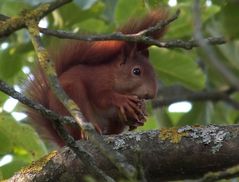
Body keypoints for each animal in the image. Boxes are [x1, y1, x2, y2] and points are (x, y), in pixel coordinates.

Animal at [25, 9, 167, 146]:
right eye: (136, 71)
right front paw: (122, 100)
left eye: (154, 72)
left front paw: (142, 109)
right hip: (73, 95)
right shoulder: (97, 80)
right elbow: (101, 96)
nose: (151, 95)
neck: (113, 75)